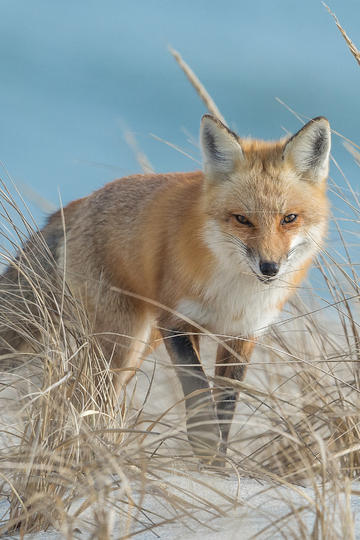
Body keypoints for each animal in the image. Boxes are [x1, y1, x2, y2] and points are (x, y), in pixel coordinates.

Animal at [0, 115, 330, 464]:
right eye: (242, 219)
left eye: (289, 218)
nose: (269, 268)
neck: (233, 292)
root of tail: (82, 202)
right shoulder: (177, 322)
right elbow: (198, 393)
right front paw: (205, 447)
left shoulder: (242, 333)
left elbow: (225, 407)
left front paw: (218, 465)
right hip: (121, 343)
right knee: (85, 399)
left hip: (140, 346)